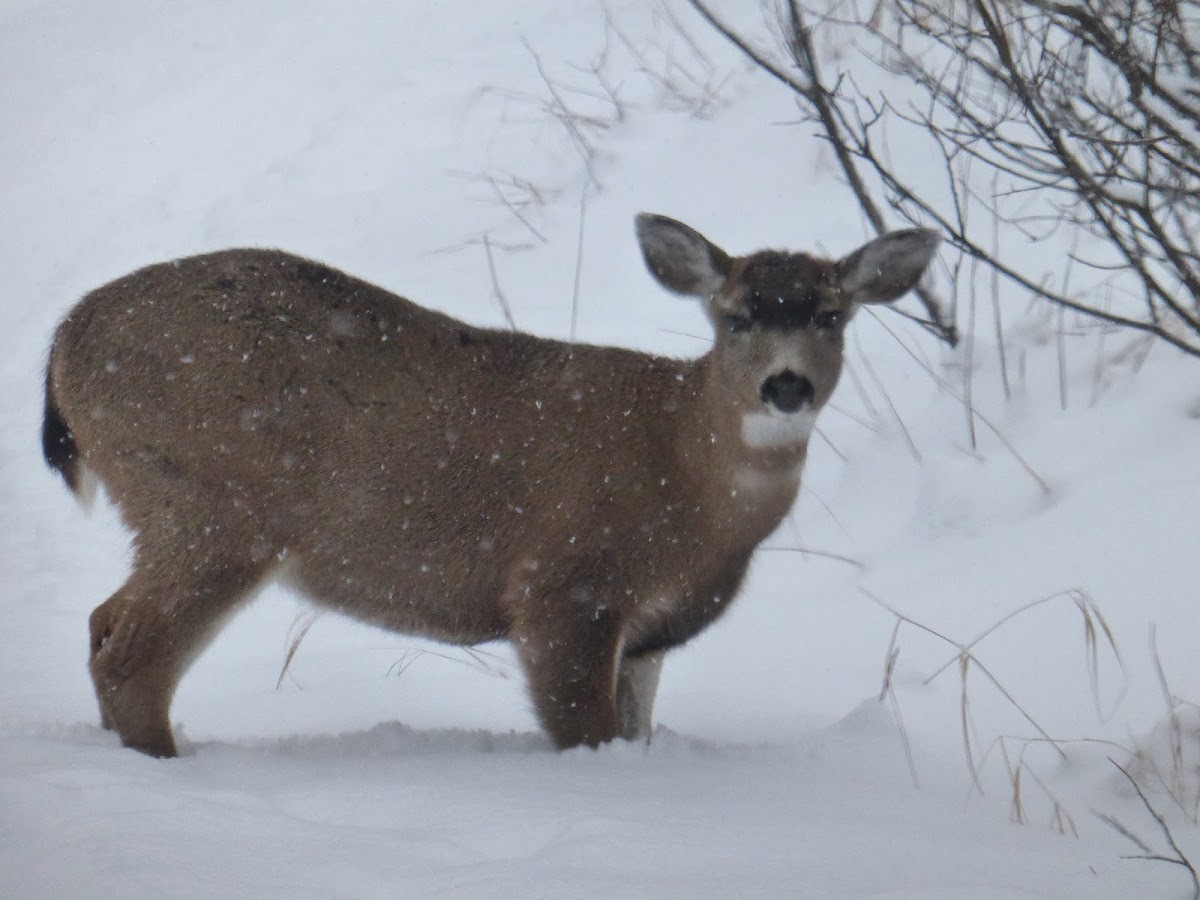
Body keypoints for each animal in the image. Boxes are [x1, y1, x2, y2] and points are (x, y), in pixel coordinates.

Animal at [42, 214, 936, 758]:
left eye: (831, 316)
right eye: (736, 315)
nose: (786, 386)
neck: (686, 472)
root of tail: (64, 341)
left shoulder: (649, 631)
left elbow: (638, 730)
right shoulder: (565, 586)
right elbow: (584, 728)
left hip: (174, 513)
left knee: (99, 623)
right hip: (209, 506)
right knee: (131, 656)